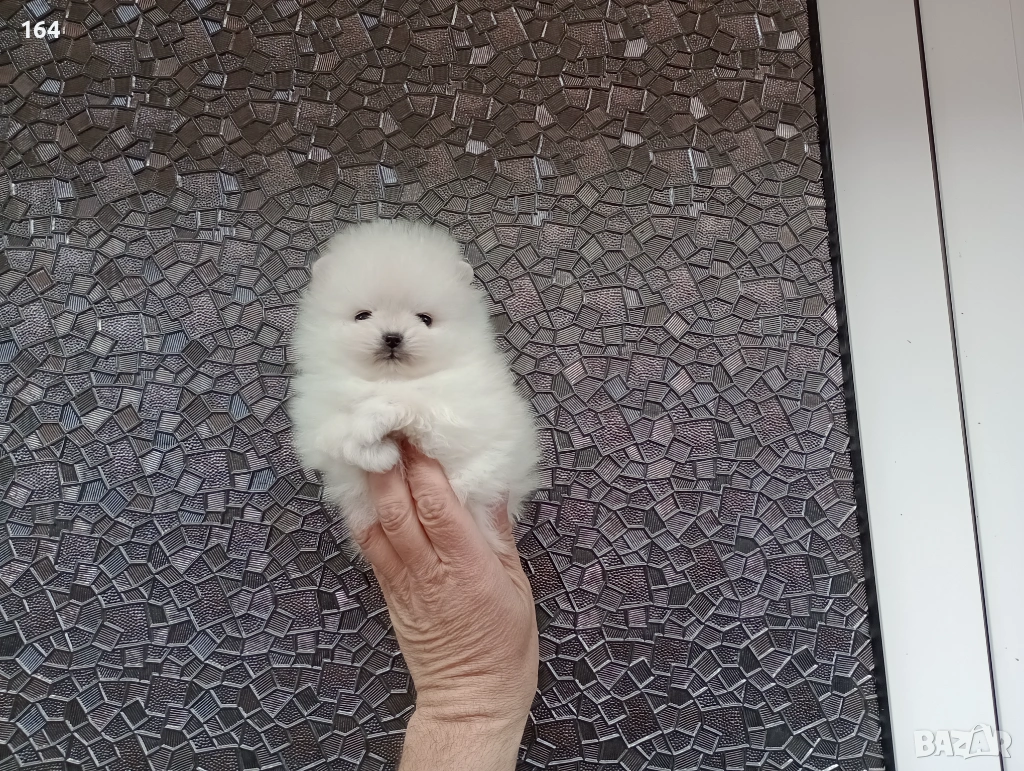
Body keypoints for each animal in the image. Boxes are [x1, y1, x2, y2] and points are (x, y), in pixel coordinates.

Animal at [289, 219, 538, 552]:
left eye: (425, 319)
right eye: (362, 315)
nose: (393, 337)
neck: (390, 379)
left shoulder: (464, 418)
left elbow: (417, 405)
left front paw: (378, 419)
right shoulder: (319, 418)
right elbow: (340, 438)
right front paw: (379, 453)